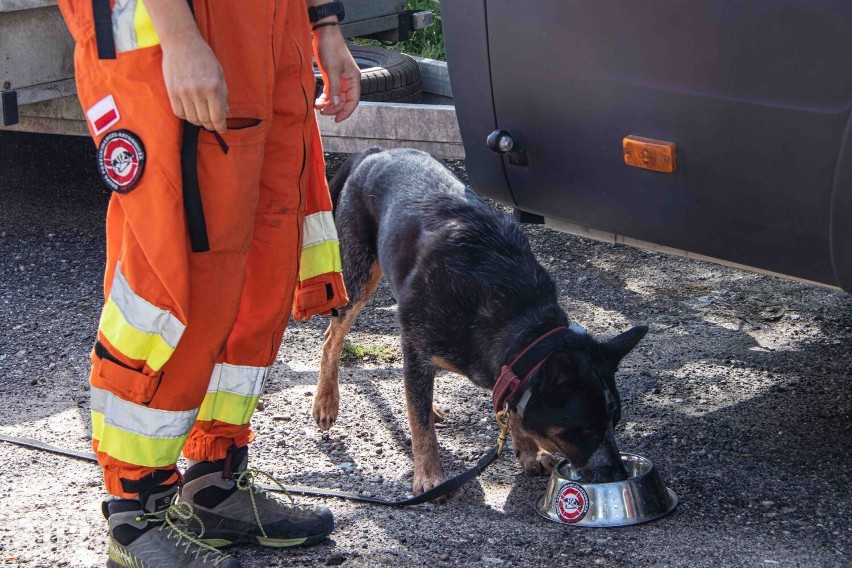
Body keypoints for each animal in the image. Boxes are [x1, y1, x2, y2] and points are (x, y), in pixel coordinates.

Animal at [312, 149, 644, 494]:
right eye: (587, 430)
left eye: (615, 421)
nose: (619, 474)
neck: (515, 314)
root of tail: (375, 152)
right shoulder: (417, 348)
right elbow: (420, 425)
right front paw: (429, 475)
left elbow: (505, 406)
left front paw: (528, 451)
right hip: (358, 277)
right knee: (332, 336)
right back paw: (325, 402)